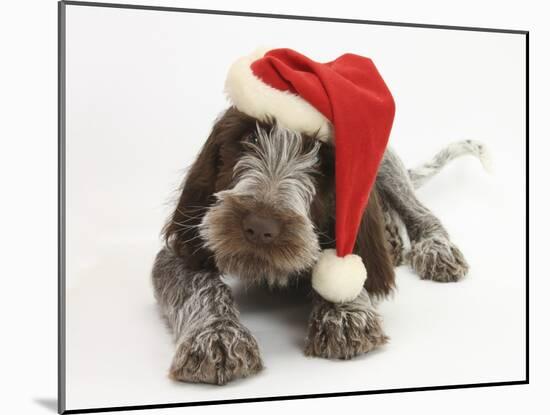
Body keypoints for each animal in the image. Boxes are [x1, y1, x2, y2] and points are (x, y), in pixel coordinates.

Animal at [150, 107, 488, 386]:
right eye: (249, 138)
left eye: (321, 157)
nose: (260, 227)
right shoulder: (181, 251)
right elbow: (201, 285)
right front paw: (216, 335)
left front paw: (343, 312)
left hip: (387, 167)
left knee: (420, 213)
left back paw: (435, 248)